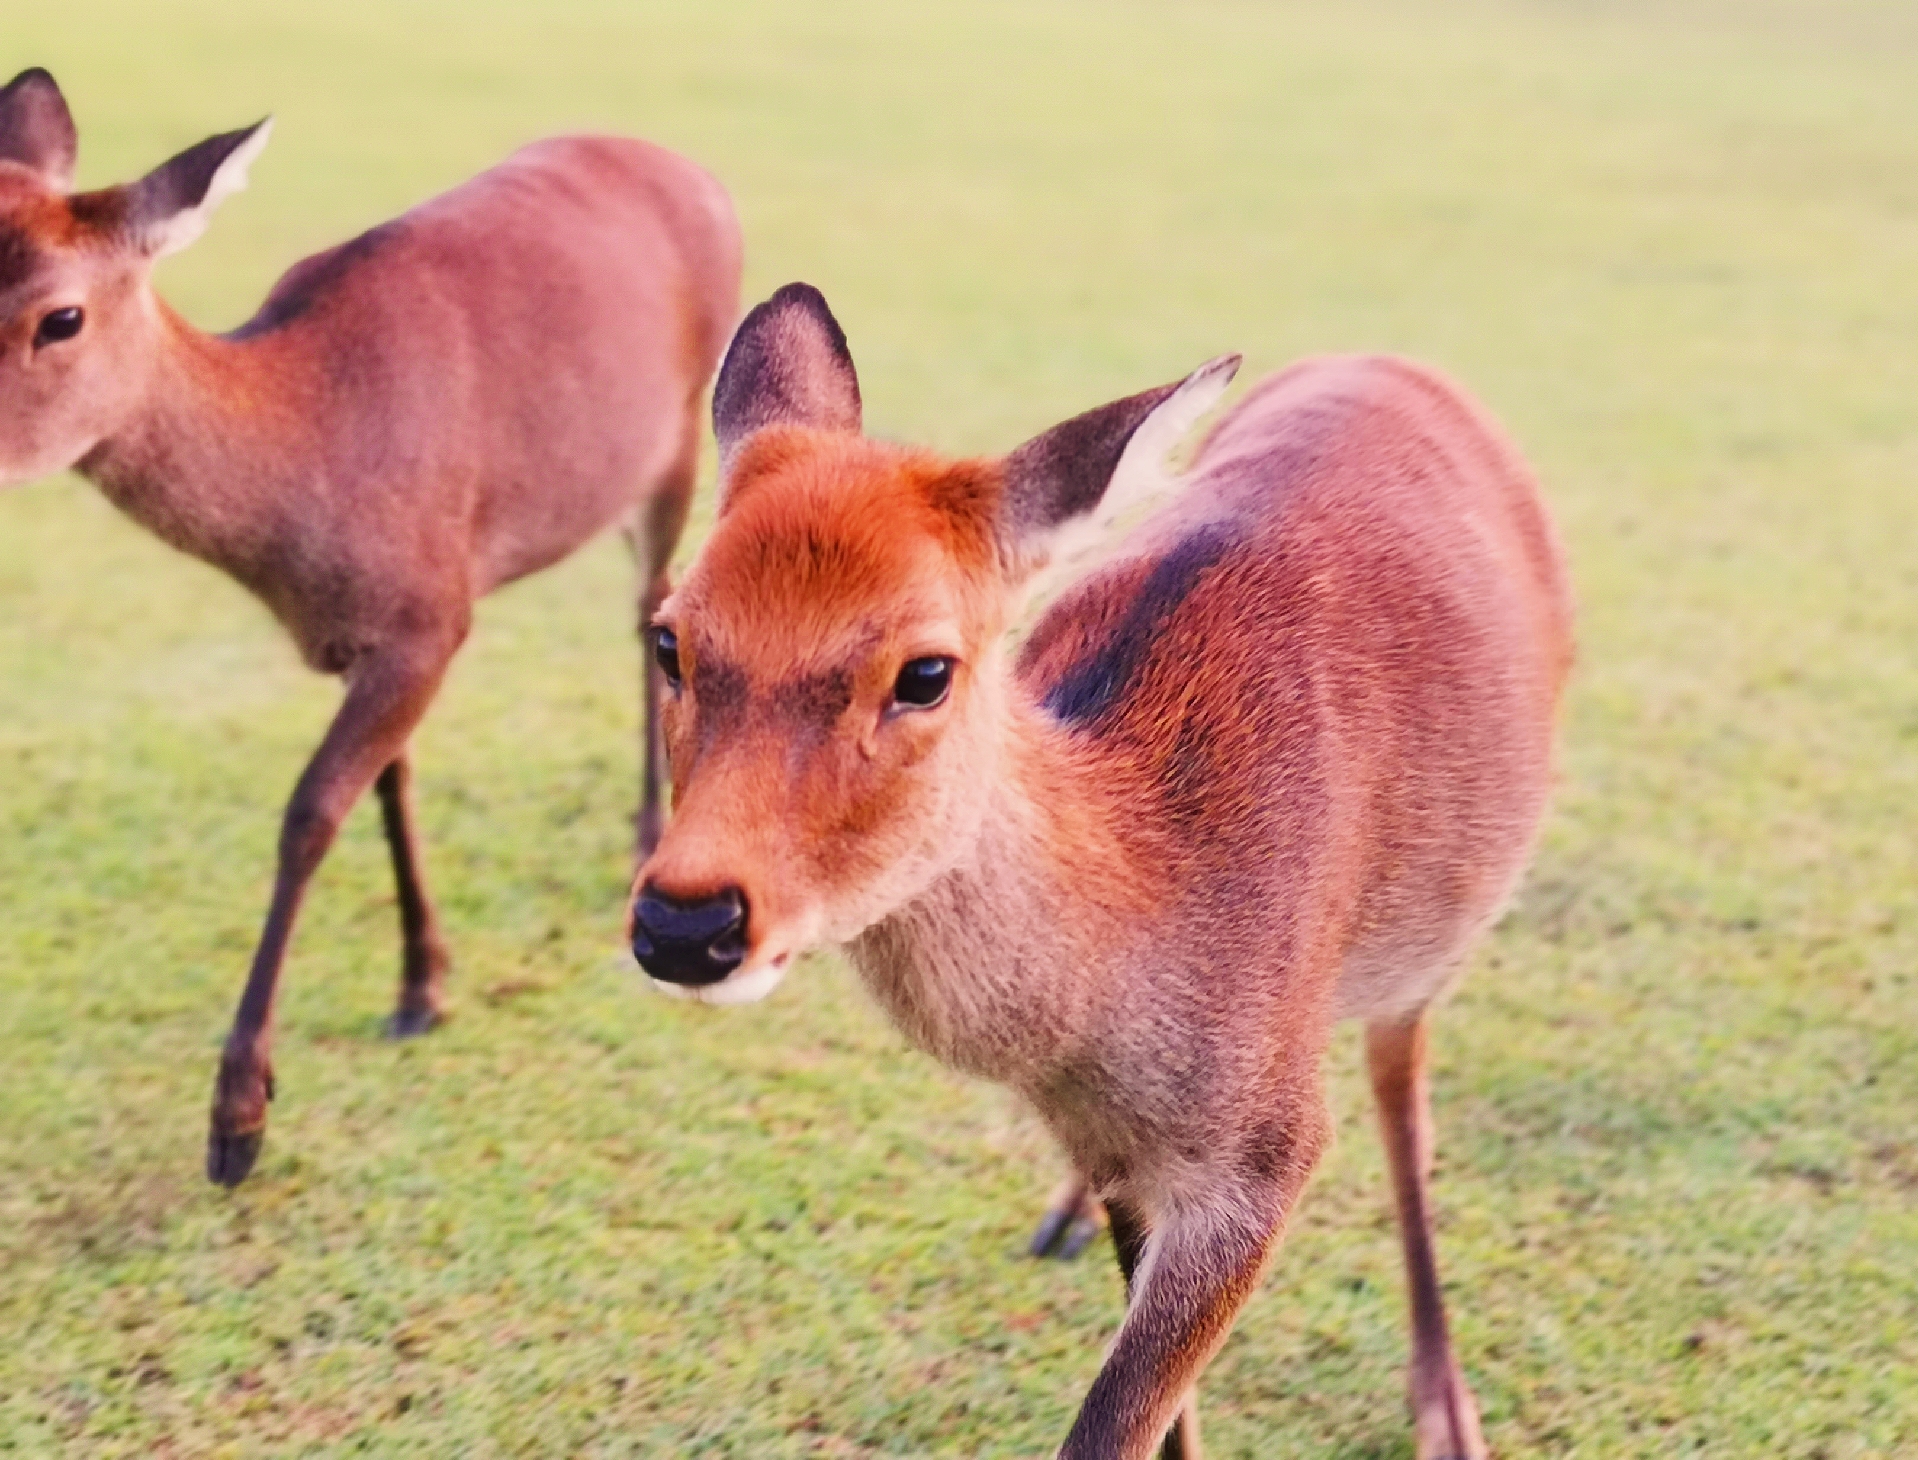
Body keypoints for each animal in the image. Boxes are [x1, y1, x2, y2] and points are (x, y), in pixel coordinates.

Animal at [0, 65, 740, 1181]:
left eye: (63, 317)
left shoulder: (434, 612)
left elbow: (311, 810)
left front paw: (237, 1122)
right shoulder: (378, 640)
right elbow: (391, 781)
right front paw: (421, 985)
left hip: (682, 439)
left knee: (653, 608)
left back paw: (649, 839)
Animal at [629, 278, 1572, 1450]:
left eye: (926, 670)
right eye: (669, 638)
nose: (685, 923)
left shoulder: (1266, 1150)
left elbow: (1117, 1421)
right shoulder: (1125, 1151)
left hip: (1427, 949)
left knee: (1406, 1098)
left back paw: (1445, 1404)